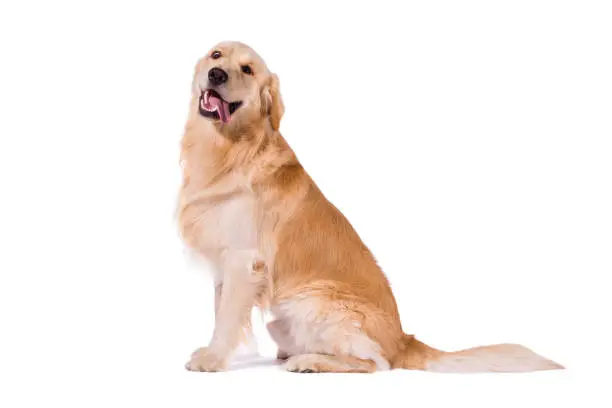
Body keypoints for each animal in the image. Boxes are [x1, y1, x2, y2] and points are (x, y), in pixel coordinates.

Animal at [177, 41, 564, 372]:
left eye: (247, 69)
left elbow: (227, 317)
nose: (217, 75)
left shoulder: (243, 260)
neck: (229, 149)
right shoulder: (224, 262)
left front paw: (212, 358)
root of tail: (404, 339)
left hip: (312, 301)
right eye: (216, 55)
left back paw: (310, 361)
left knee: (374, 362)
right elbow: (220, 311)